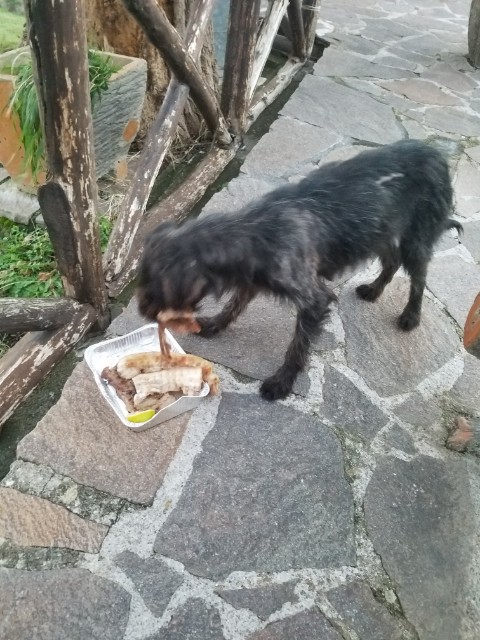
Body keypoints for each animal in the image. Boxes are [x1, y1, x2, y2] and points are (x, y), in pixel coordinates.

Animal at [137, 139, 462, 401]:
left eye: (155, 288)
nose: (141, 312)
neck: (252, 230)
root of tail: (437, 153)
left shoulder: (313, 300)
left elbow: (297, 346)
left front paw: (282, 382)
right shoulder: (251, 280)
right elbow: (234, 305)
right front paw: (216, 324)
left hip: (414, 239)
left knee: (419, 277)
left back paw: (411, 316)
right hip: (378, 231)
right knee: (392, 262)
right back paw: (373, 289)